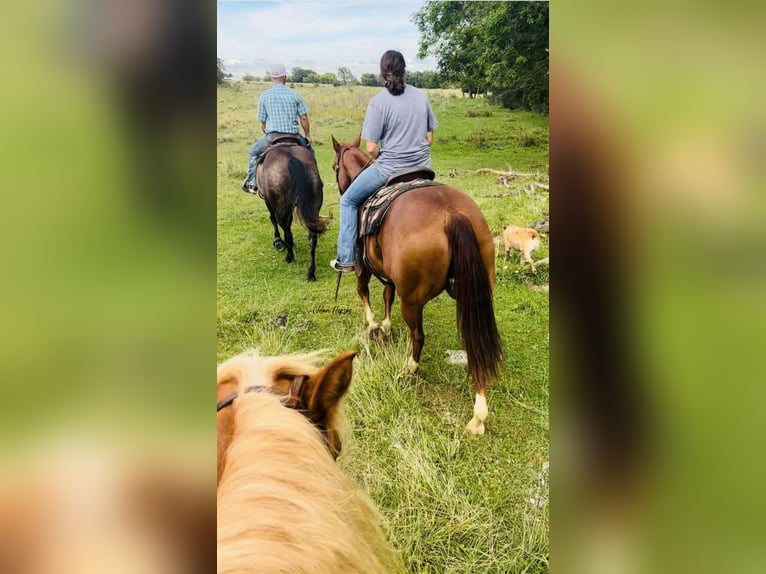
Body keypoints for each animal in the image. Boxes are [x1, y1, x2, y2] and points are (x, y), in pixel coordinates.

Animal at [258, 140, 330, 284]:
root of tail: (292, 158)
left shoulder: (269, 202)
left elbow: (272, 219)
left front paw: (277, 241)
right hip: (314, 207)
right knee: (312, 237)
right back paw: (311, 272)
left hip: (280, 207)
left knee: (286, 231)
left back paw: (289, 256)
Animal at [332, 135, 508, 436]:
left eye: (334, 167)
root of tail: (452, 213)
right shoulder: (390, 275)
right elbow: (387, 293)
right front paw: (386, 325)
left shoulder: (361, 264)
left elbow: (363, 291)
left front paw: (374, 324)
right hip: (475, 293)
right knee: (475, 342)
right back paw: (478, 415)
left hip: (412, 300)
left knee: (418, 336)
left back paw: (410, 367)